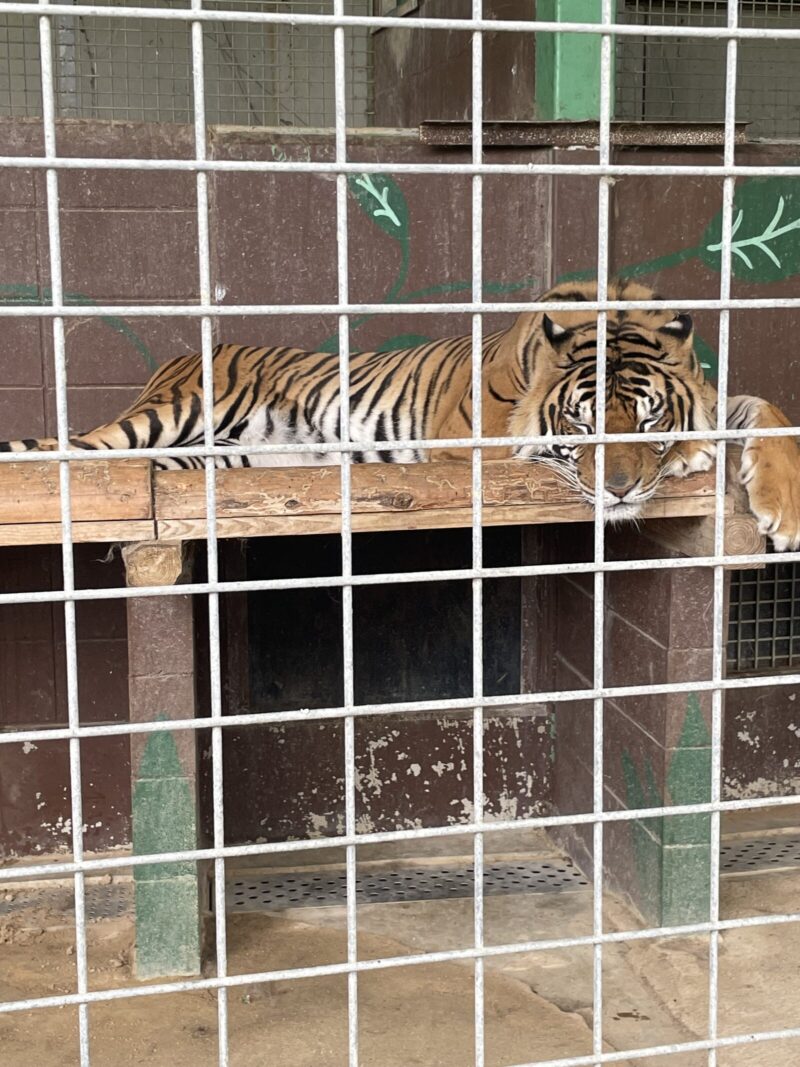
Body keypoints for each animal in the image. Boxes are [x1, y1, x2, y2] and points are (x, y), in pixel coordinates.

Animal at [1, 279, 800, 550]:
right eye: (581, 423)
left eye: (648, 419)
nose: (622, 490)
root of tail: (176, 357)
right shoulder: (476, 447)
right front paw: (696, 455)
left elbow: (765, 408)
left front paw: (778, 507)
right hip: (169, 414)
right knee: (76, 456)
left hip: (205, 457)